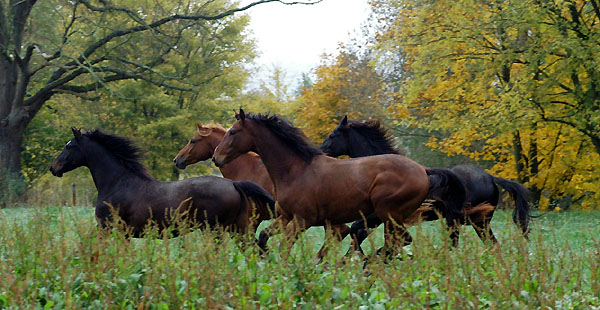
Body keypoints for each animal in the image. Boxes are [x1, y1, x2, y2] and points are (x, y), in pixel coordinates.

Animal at [49, 128, 274, 237]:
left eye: (69, 147)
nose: (53, 168)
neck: (119, 183)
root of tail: (234, 184)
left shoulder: (106, 229)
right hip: (238, 229)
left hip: (216, 230)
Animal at [213, 110, 466, 258]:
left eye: (233, 132)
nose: (216, 157)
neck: (296, 170)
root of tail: (423, 170)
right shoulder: (286, 217)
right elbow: (264, 236)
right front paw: (264, 256)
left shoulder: (303, 220)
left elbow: (285, 247)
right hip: (392, 218)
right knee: (398, 242)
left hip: (388, 213)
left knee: (400, 240)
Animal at [318, 115, 528, 246]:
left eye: (333, 135)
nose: (320, 151)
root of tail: (490, 177)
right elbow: (358, 234)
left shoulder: (376, 216)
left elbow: (356, 231)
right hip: (471, 222)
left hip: (467, 221)